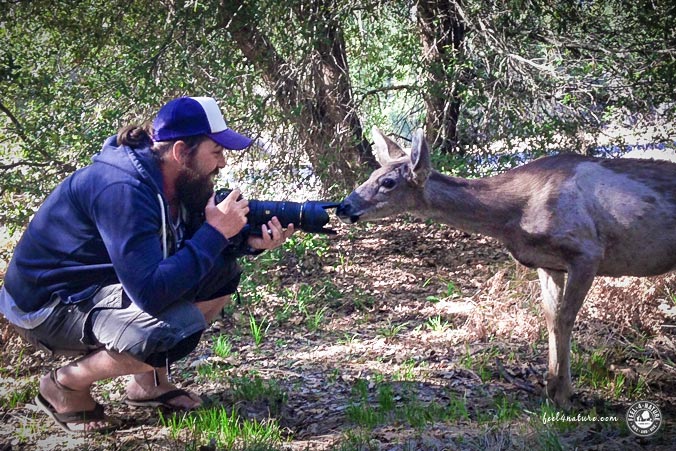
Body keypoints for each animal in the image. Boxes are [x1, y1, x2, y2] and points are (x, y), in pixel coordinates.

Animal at [336, 128, 676, 410]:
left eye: (388, 182)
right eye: (372, 173)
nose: (343, 206)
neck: (513, 214)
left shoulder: (586, 251)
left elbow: (566, 318)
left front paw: (564, 394)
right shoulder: (548, 263)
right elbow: (551, 318)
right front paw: (551, 389)